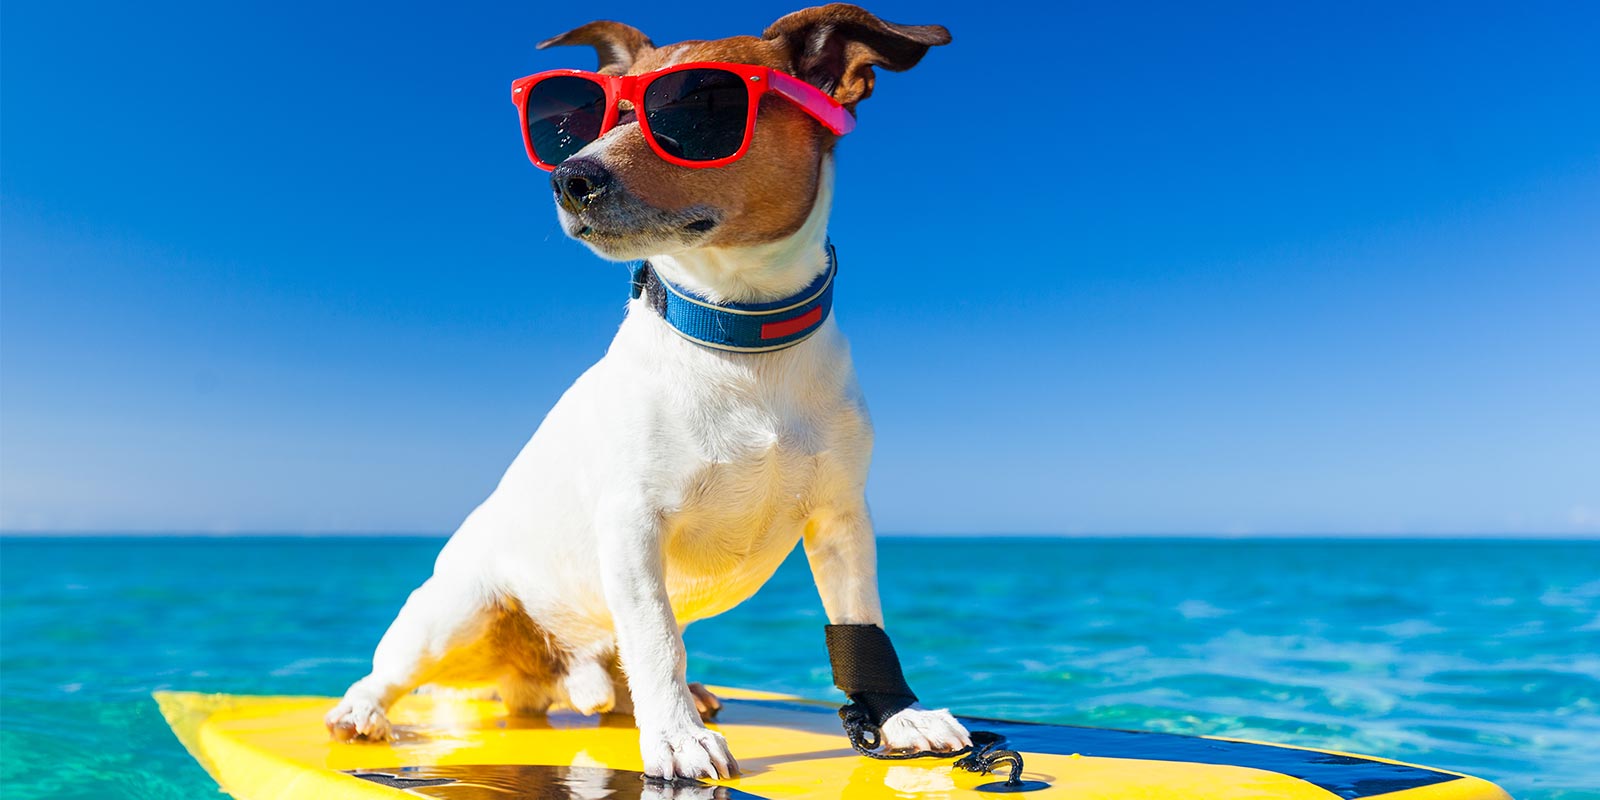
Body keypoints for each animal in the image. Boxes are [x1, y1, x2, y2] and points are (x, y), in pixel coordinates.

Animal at [324, 4, 960, 780]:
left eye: (694, 109)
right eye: (582, 120)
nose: (570, 177)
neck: (737, 337)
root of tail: (545, 675)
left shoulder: (842, 521)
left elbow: (858, 624)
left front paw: (898, 716)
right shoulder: (633, 524)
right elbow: (656, 636)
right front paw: (678, 738)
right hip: (455, 615)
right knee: (391, 670)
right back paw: (362, 711)